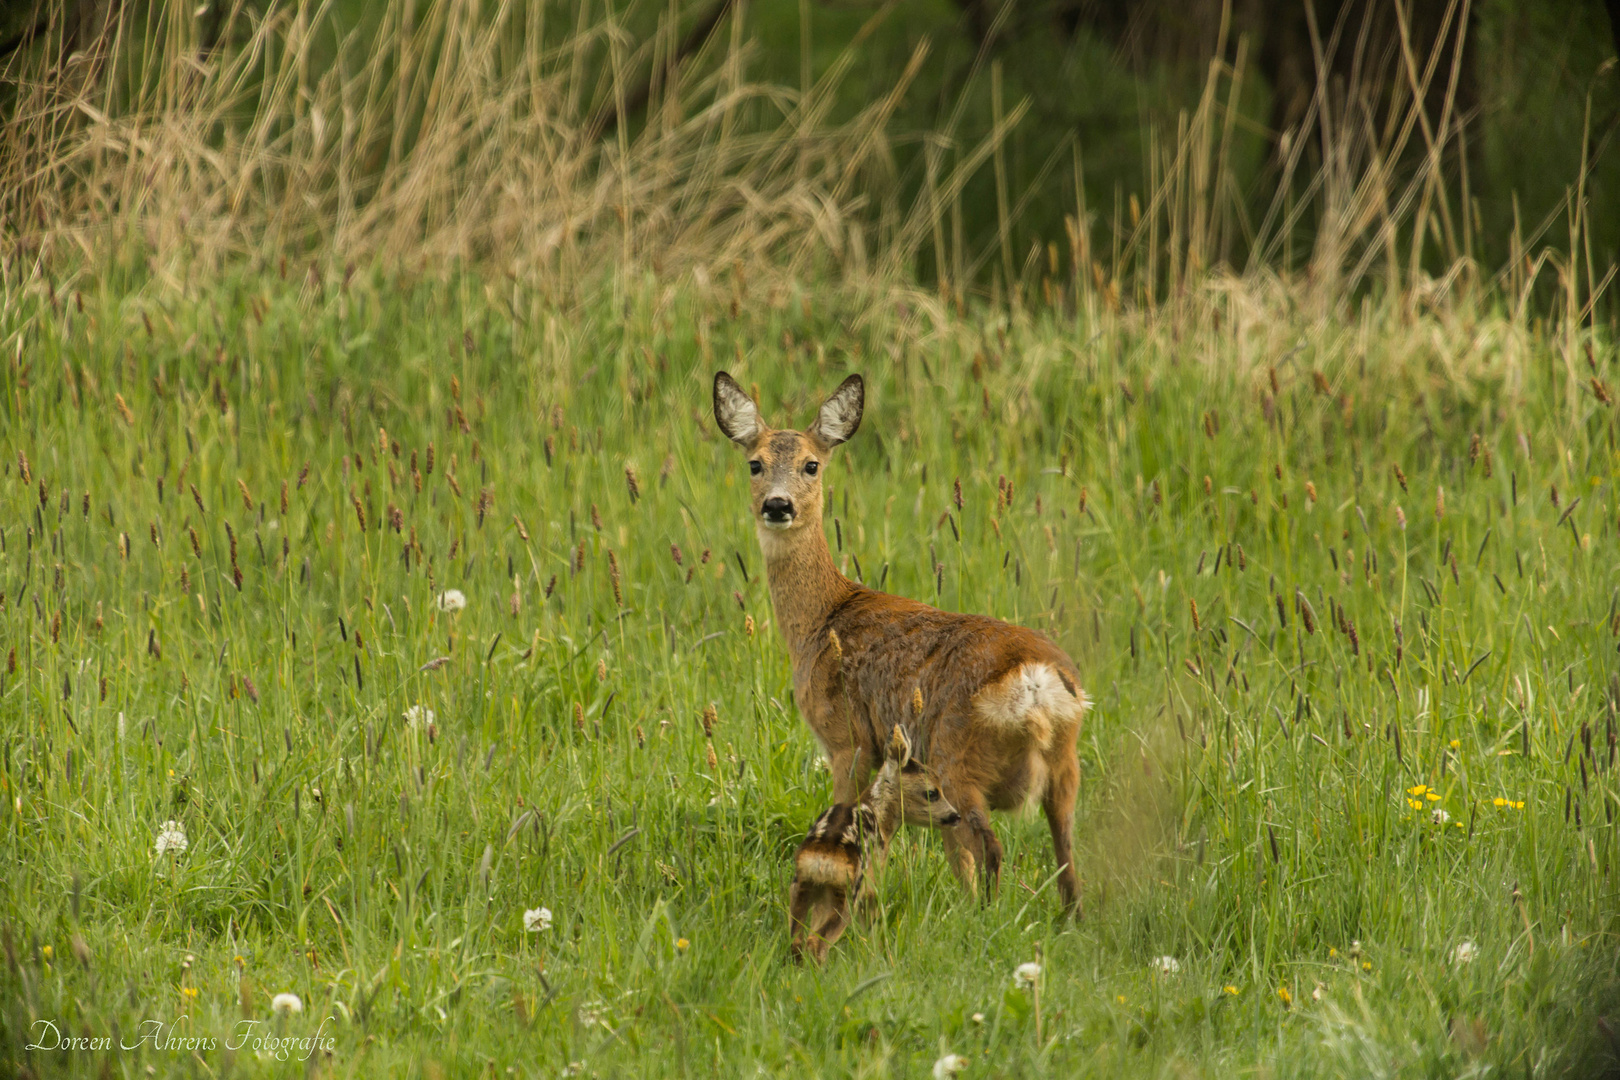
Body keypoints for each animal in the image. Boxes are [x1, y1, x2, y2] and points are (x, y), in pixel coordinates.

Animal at [709, 372, 1088, 913]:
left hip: (957, 754)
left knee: (990, 846)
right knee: (1065, 860)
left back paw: (985, 917)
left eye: (811, 464)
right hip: (1063, 764)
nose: (777, 505)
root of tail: (1036, 686)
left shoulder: (846, 737)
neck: (822, 620)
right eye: (754, 463)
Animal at [787, 725, 959, 965]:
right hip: (847, 895)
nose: (955, 816)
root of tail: (822, 858)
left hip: (802, 886)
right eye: (932, 792)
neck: (880, 817)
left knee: (797, 940)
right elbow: (874, 924)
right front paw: (880, 956)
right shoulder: (874, 881)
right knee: (817, 942)